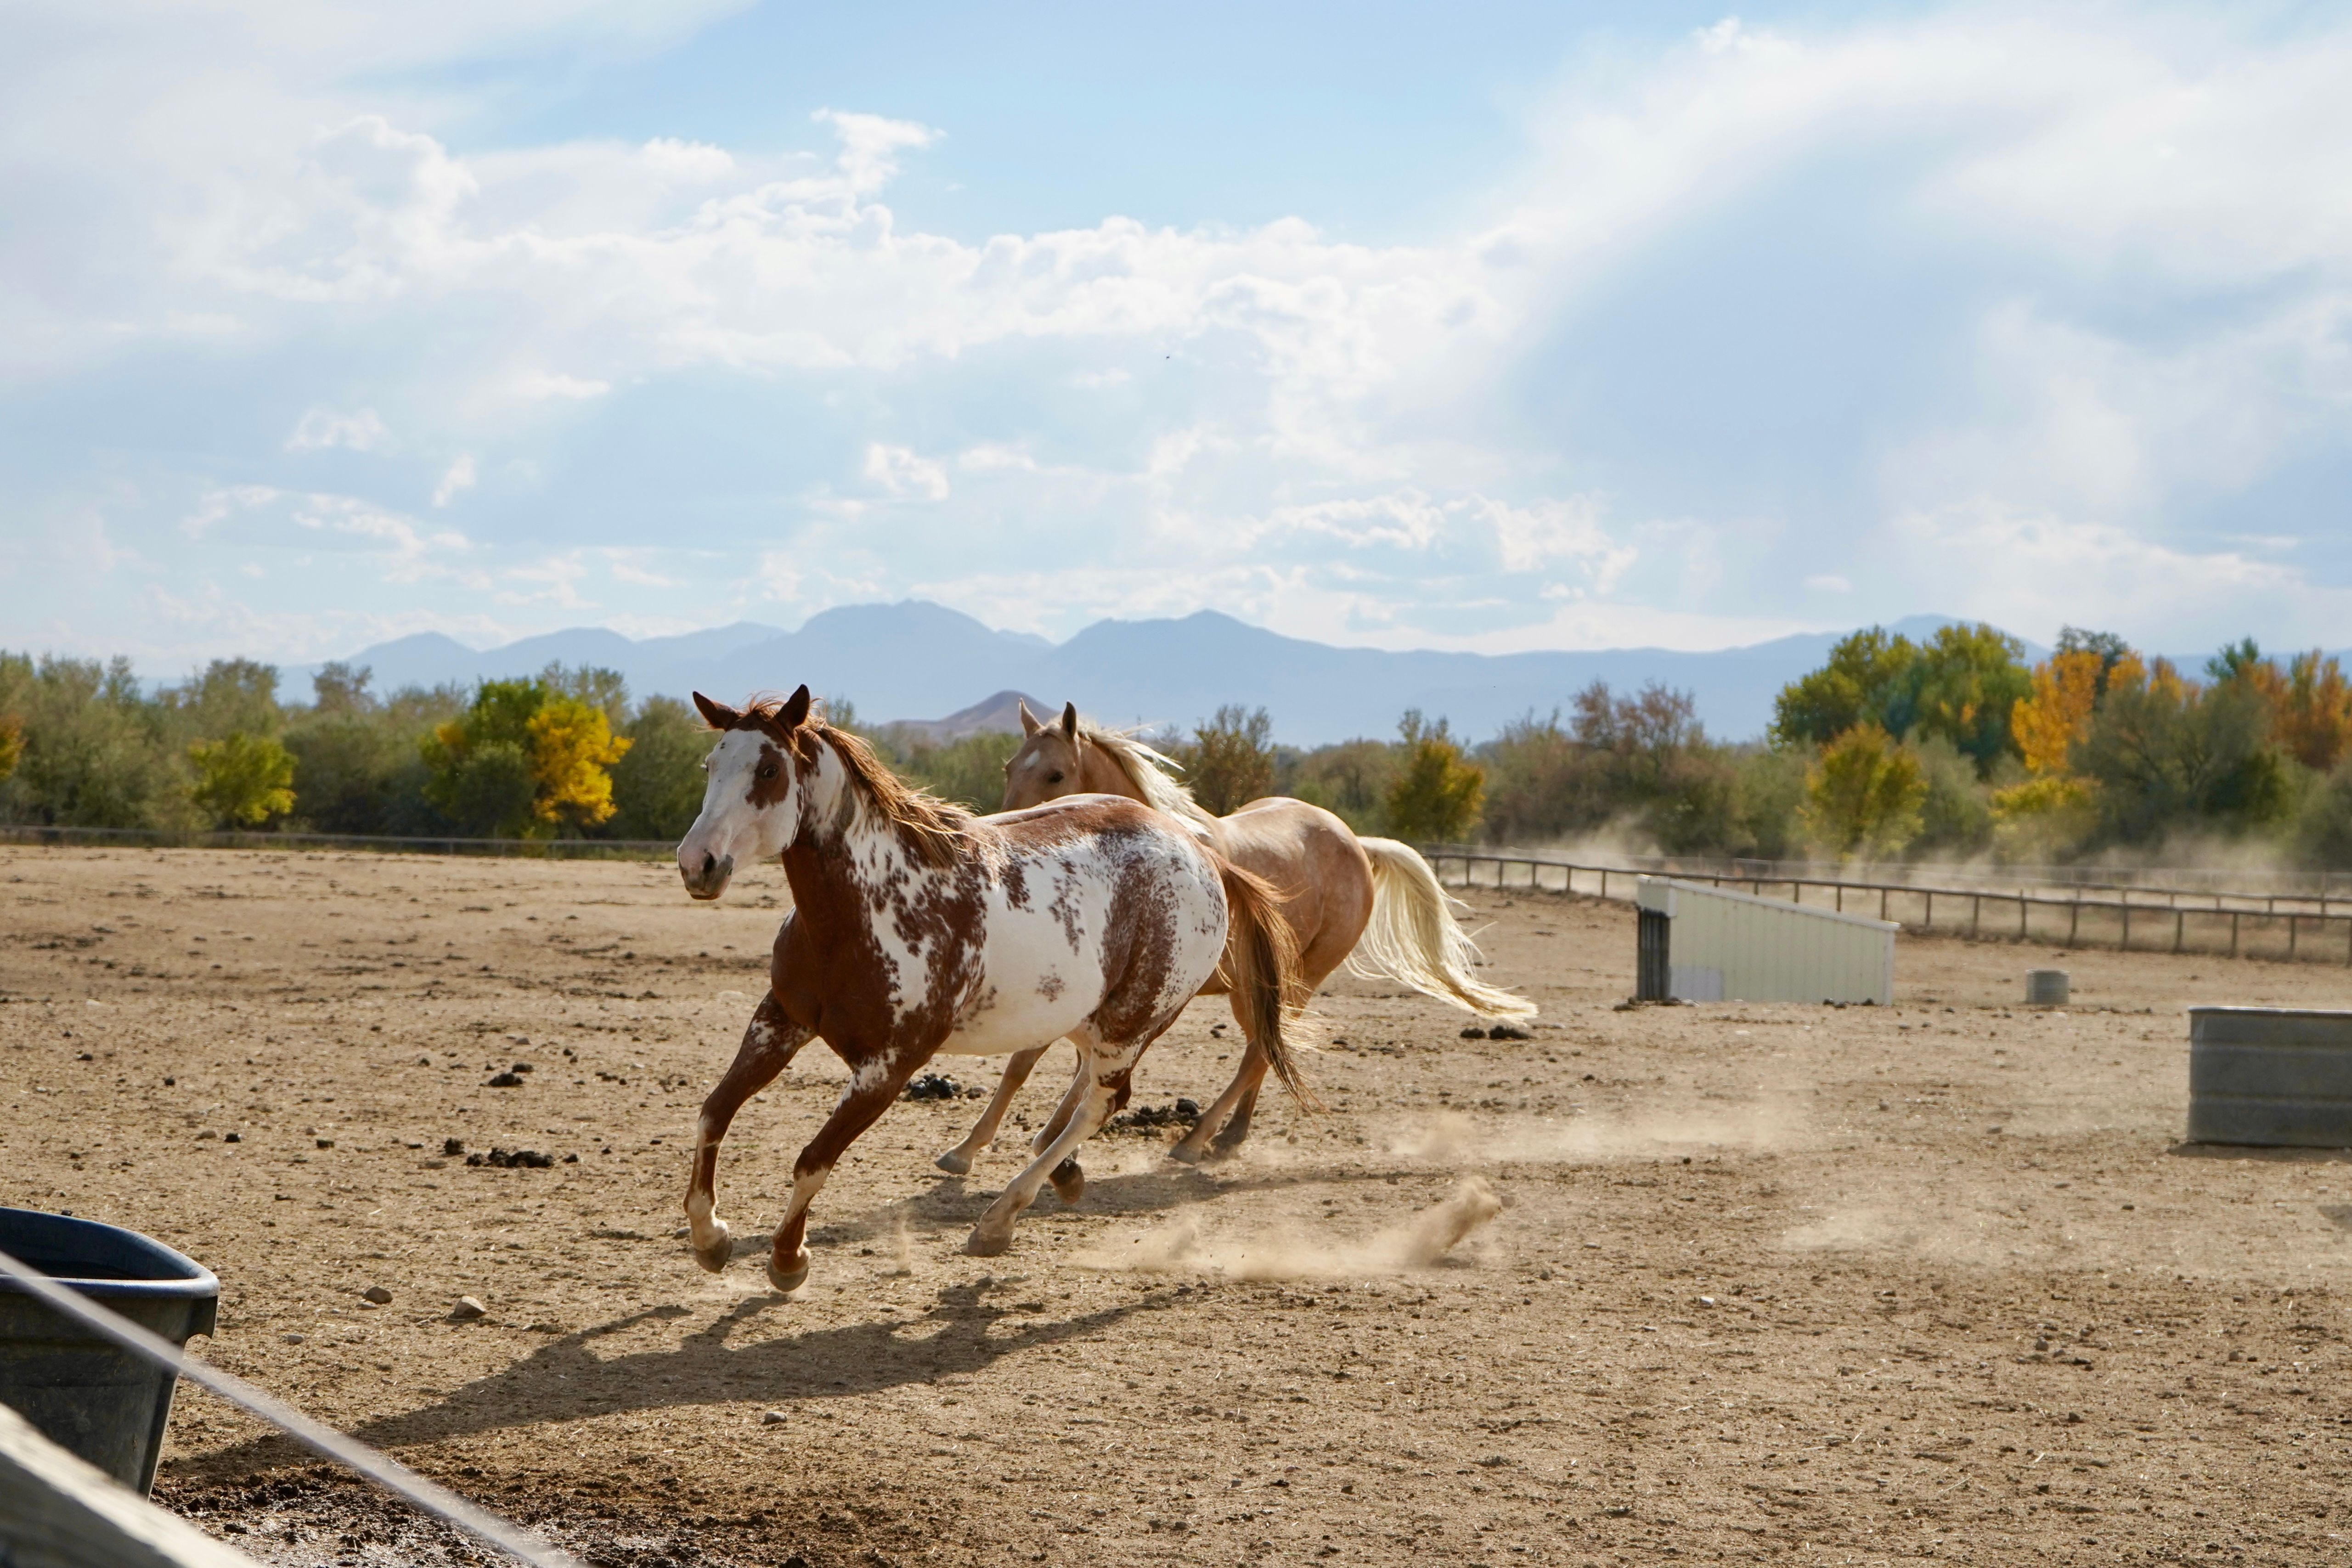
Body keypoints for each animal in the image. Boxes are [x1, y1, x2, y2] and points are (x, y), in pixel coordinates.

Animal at [672, 684, 1303, 1292]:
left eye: (768, 771)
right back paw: (1057, 1176)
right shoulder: (781, 1019)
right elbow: (712, 1114)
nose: (696, 863)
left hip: (1134, 1021)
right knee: (1086, 1089)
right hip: (1091, 1018)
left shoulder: (890, 1066)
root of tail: (1206, 857)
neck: (867, 906)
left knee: (1102, 1104)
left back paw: (1000, 1218)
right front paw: (710, 1237)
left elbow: (813, 1160)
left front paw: (787, 1258)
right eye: (710, 765)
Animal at [933, 699, 1533, 1173]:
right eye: (1011, 766)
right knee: (1262, 1050)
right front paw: (997, 1146)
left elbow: (1041, 1060)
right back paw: (1231, 1136)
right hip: (1254, 990)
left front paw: (998, 1148)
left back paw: (1196, 1141)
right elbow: (1044, 1064)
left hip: (1298, 980)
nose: (999, 840)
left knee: (1260, 1054)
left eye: (1056, 774)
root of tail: (1358, 845)